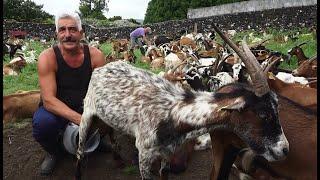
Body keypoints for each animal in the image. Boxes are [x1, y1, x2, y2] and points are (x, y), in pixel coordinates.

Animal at [76, 26, 288, 180]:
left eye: (276, 107)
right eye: (263, 113)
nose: (284, 149)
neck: (174, 110)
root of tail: (103, 68)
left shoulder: (168, 151)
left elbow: (164, 173)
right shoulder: (144, 153)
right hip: (87, 114)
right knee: (80, 153)